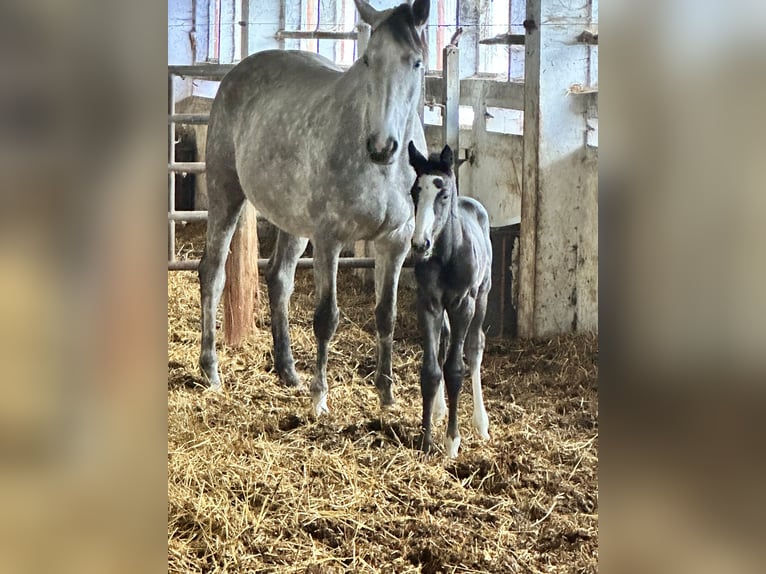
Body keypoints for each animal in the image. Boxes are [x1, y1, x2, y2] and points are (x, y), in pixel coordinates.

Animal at [198, 0, 430, 417]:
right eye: (368, 59)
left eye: (415, 62)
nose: (382, 146)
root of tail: (237, 72)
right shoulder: (329, 239)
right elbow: (326, 317)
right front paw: (319, 398)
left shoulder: (395, 242)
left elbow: (386, 315)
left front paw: (386, 396)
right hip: (226, 193)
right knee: (212, 272)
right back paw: (211, 370)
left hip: (293, 221)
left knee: (279, 278)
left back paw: (287, 370)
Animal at [407, 141, 492, 457]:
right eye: (414, 191)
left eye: (443, 194)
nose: (420, 244)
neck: (447, 255)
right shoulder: (429, 303)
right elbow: (431, 370)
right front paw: (425, 439)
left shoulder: (462, 305)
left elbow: (455, 370)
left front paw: (452, 441)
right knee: (444, 341)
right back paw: (439, 410)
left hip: (482, 296)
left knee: (475, 347)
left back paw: (481, 423)